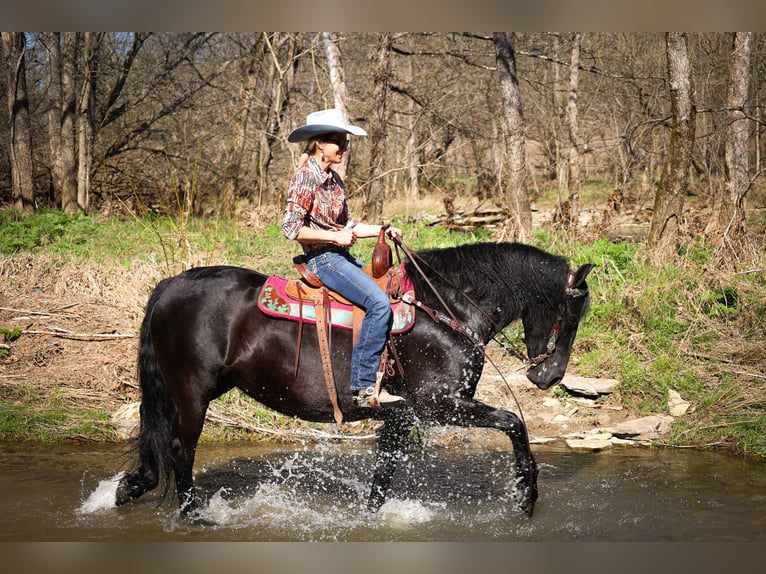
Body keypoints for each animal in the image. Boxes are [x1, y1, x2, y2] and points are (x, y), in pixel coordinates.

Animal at [115, 241, 592, 520]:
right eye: (570, 315)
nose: (550, 375)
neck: (444, 311)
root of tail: (171, 285)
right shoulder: (440, 406)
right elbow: (515, 422)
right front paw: (527, 493)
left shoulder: (402, 416)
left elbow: (383, 475)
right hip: (192, 394)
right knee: (180, 450)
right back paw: (193, 516)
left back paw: (132, 487)